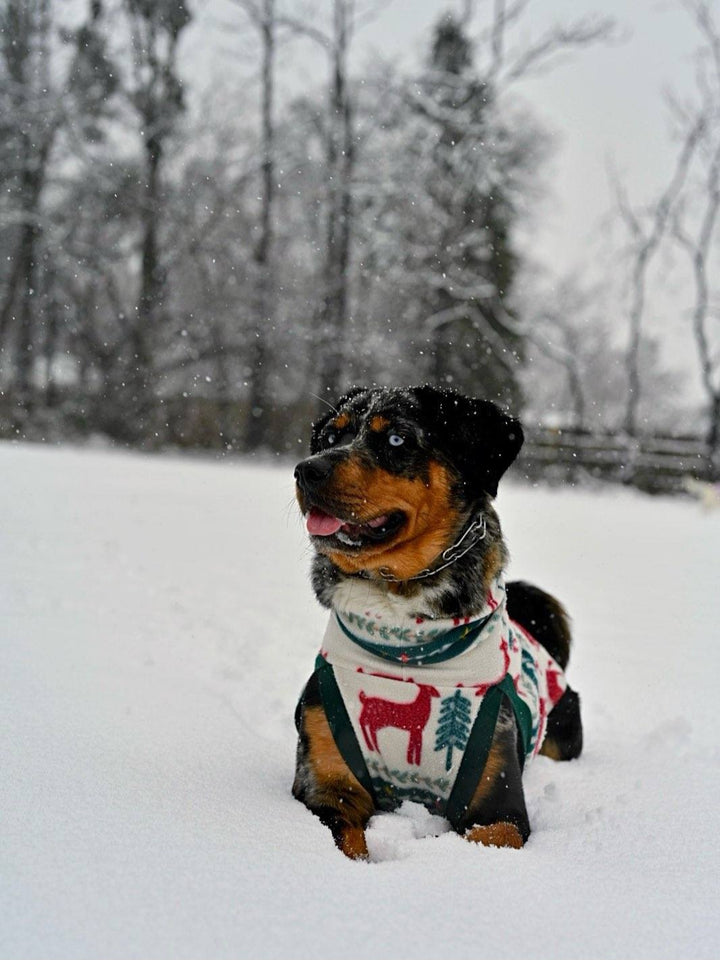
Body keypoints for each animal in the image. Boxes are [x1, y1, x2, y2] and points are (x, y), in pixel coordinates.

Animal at [292, 386, 580, 860]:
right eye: (330, 437)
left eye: (396, 439)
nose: (306, 470)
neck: (406, 644)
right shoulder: (325, 780)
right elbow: (346, 840)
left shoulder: (497, 798)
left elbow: (492, 834)